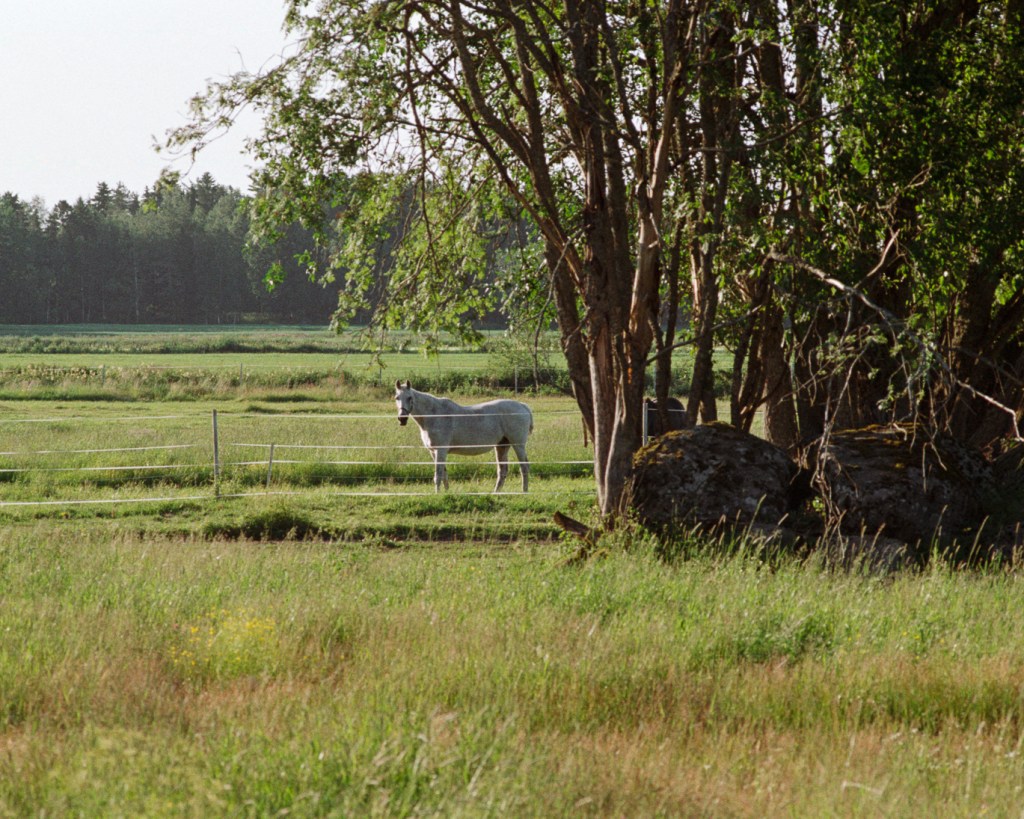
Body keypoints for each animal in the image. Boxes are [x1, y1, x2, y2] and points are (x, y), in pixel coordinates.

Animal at [393, 380, 533, 492]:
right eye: (397, 397)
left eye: (410, 397)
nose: (402, 419)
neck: (434, 415)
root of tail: (522, 406)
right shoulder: (434, 452)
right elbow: (444, 474)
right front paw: (446, 493)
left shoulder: (440, 450)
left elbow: (438, 475)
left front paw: (437, 494)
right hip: (502, 446)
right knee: (502, 471)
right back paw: (496, 493)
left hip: (518, 445)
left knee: (524, 468)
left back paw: (524, 492)